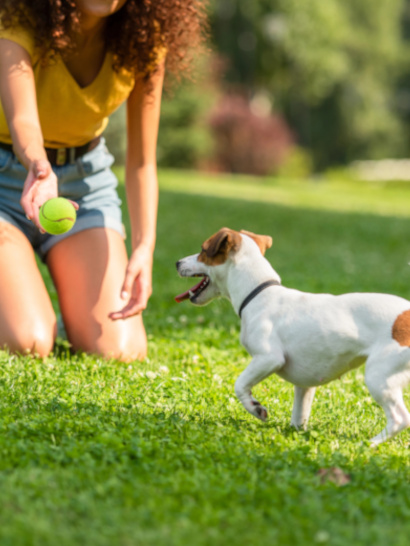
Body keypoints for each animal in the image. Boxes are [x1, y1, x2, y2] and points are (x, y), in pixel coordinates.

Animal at [176, 225, 410, 442]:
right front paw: (296, 434)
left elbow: (240, 385)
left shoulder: (269, 358)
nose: (177, 262)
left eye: (203, 250)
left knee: (400, 418)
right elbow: (299, 415)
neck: (258, 293)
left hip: (379, 376)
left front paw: (255, 408)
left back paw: (370, 444)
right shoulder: (304, 385)